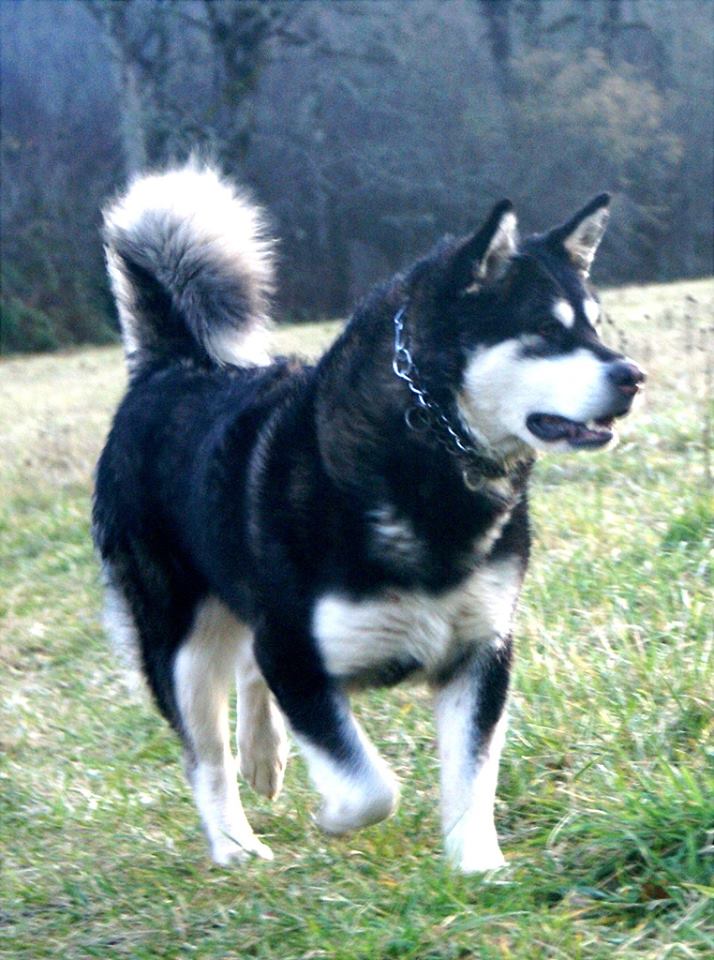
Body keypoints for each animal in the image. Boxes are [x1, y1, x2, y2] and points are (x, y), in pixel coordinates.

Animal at [92, 163, 644, 872]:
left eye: (596, 327)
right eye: (546, 332)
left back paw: (263, 757)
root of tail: (172, 368)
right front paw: (334, 816)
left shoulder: (481, 651)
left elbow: (471, 777)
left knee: (246, 672)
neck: (430, 460)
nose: (633, 375)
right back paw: (235, 843)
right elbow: (371, 785)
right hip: (179, 642)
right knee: (205, 755)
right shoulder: (296, 652)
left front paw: (479, 870)